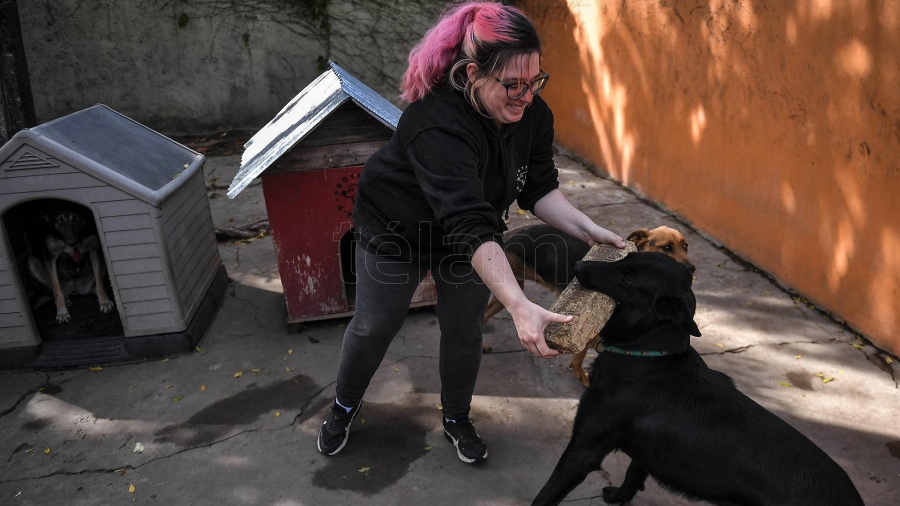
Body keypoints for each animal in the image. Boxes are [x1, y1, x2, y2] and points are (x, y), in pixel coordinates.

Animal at [482, 223, 692, 386]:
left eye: (685, 246)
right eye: (667, 248)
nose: (692, 269)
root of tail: (508, 235)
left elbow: (578, 356)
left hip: (508, 292)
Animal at [536, 253, 864, 506]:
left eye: (628, 277)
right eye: (625, 258)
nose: (577, 265)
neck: (646, 357)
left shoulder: (583, 451)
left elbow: (545, 496)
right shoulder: (646, 452)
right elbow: (633, 475)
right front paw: (620, 497)